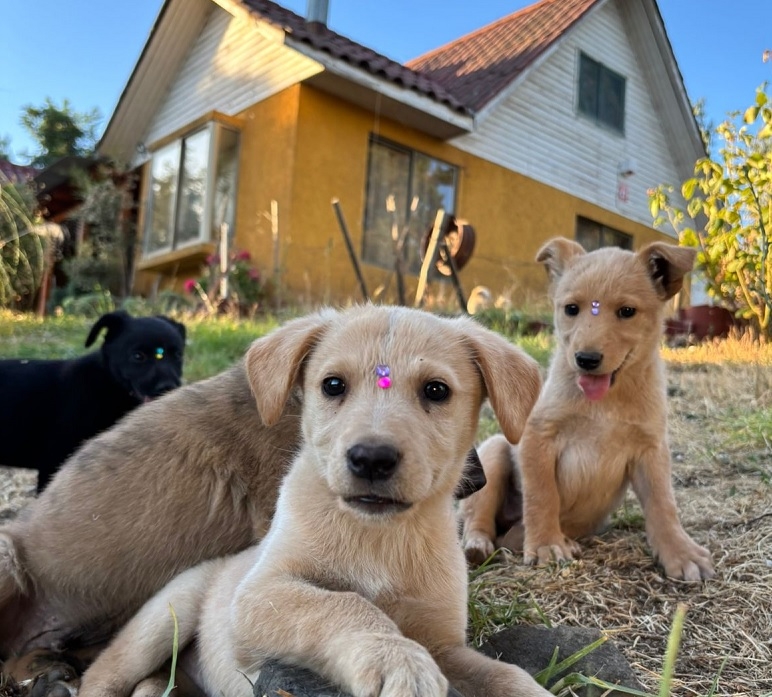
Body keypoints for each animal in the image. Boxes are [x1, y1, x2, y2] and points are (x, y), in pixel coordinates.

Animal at [75, 308, 544, 696]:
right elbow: (341, 604)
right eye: (333, 385)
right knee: (103, 674)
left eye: (436, 390)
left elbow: (505, 675)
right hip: (164, 617)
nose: (371, 458)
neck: (377, 535)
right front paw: (396, 659)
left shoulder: (444, 644)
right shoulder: (259, 597)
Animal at [462, 239, 716, 580]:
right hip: (494, 453)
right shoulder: (538, 436)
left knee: (510, 534)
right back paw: (478, 546)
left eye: (626, 312)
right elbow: (542, 495)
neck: (605, 402)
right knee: (478, 519)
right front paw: (546, 545)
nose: (586, 359)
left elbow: (663, 504)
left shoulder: (650, 450)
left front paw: (680, 552)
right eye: (571, 309)